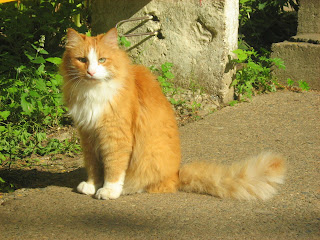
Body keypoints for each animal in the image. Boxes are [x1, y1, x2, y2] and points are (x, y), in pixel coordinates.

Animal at [61, 28, 286, 201]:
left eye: (102, 60)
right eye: (82, 60)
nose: (90, 72)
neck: (92, 93)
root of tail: (177, 175)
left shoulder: (115, 136)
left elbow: (113, 167)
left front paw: (108, 190)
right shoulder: (88, 135)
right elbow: (93, 165)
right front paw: (91, 185)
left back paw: (127, 189)